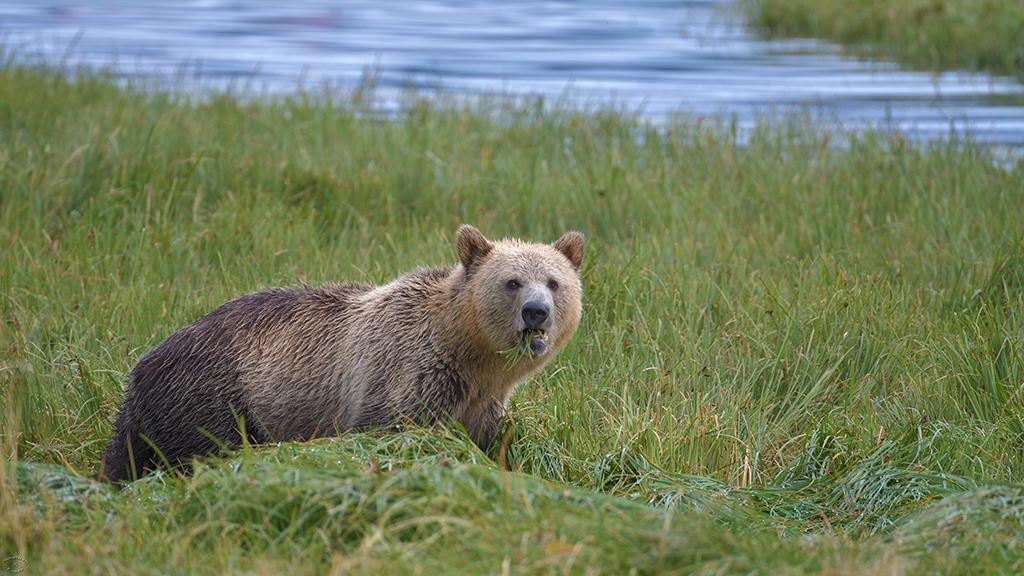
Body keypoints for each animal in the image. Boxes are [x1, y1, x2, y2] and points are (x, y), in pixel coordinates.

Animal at [102, 224, 589, 479]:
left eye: (553, 282)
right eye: (512, 281)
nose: (535, 312)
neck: (469, 354)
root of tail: (140, 369)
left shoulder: (481, 401)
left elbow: (490, 441)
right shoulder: (402, 373)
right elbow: (390, 429)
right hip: (214, 395)